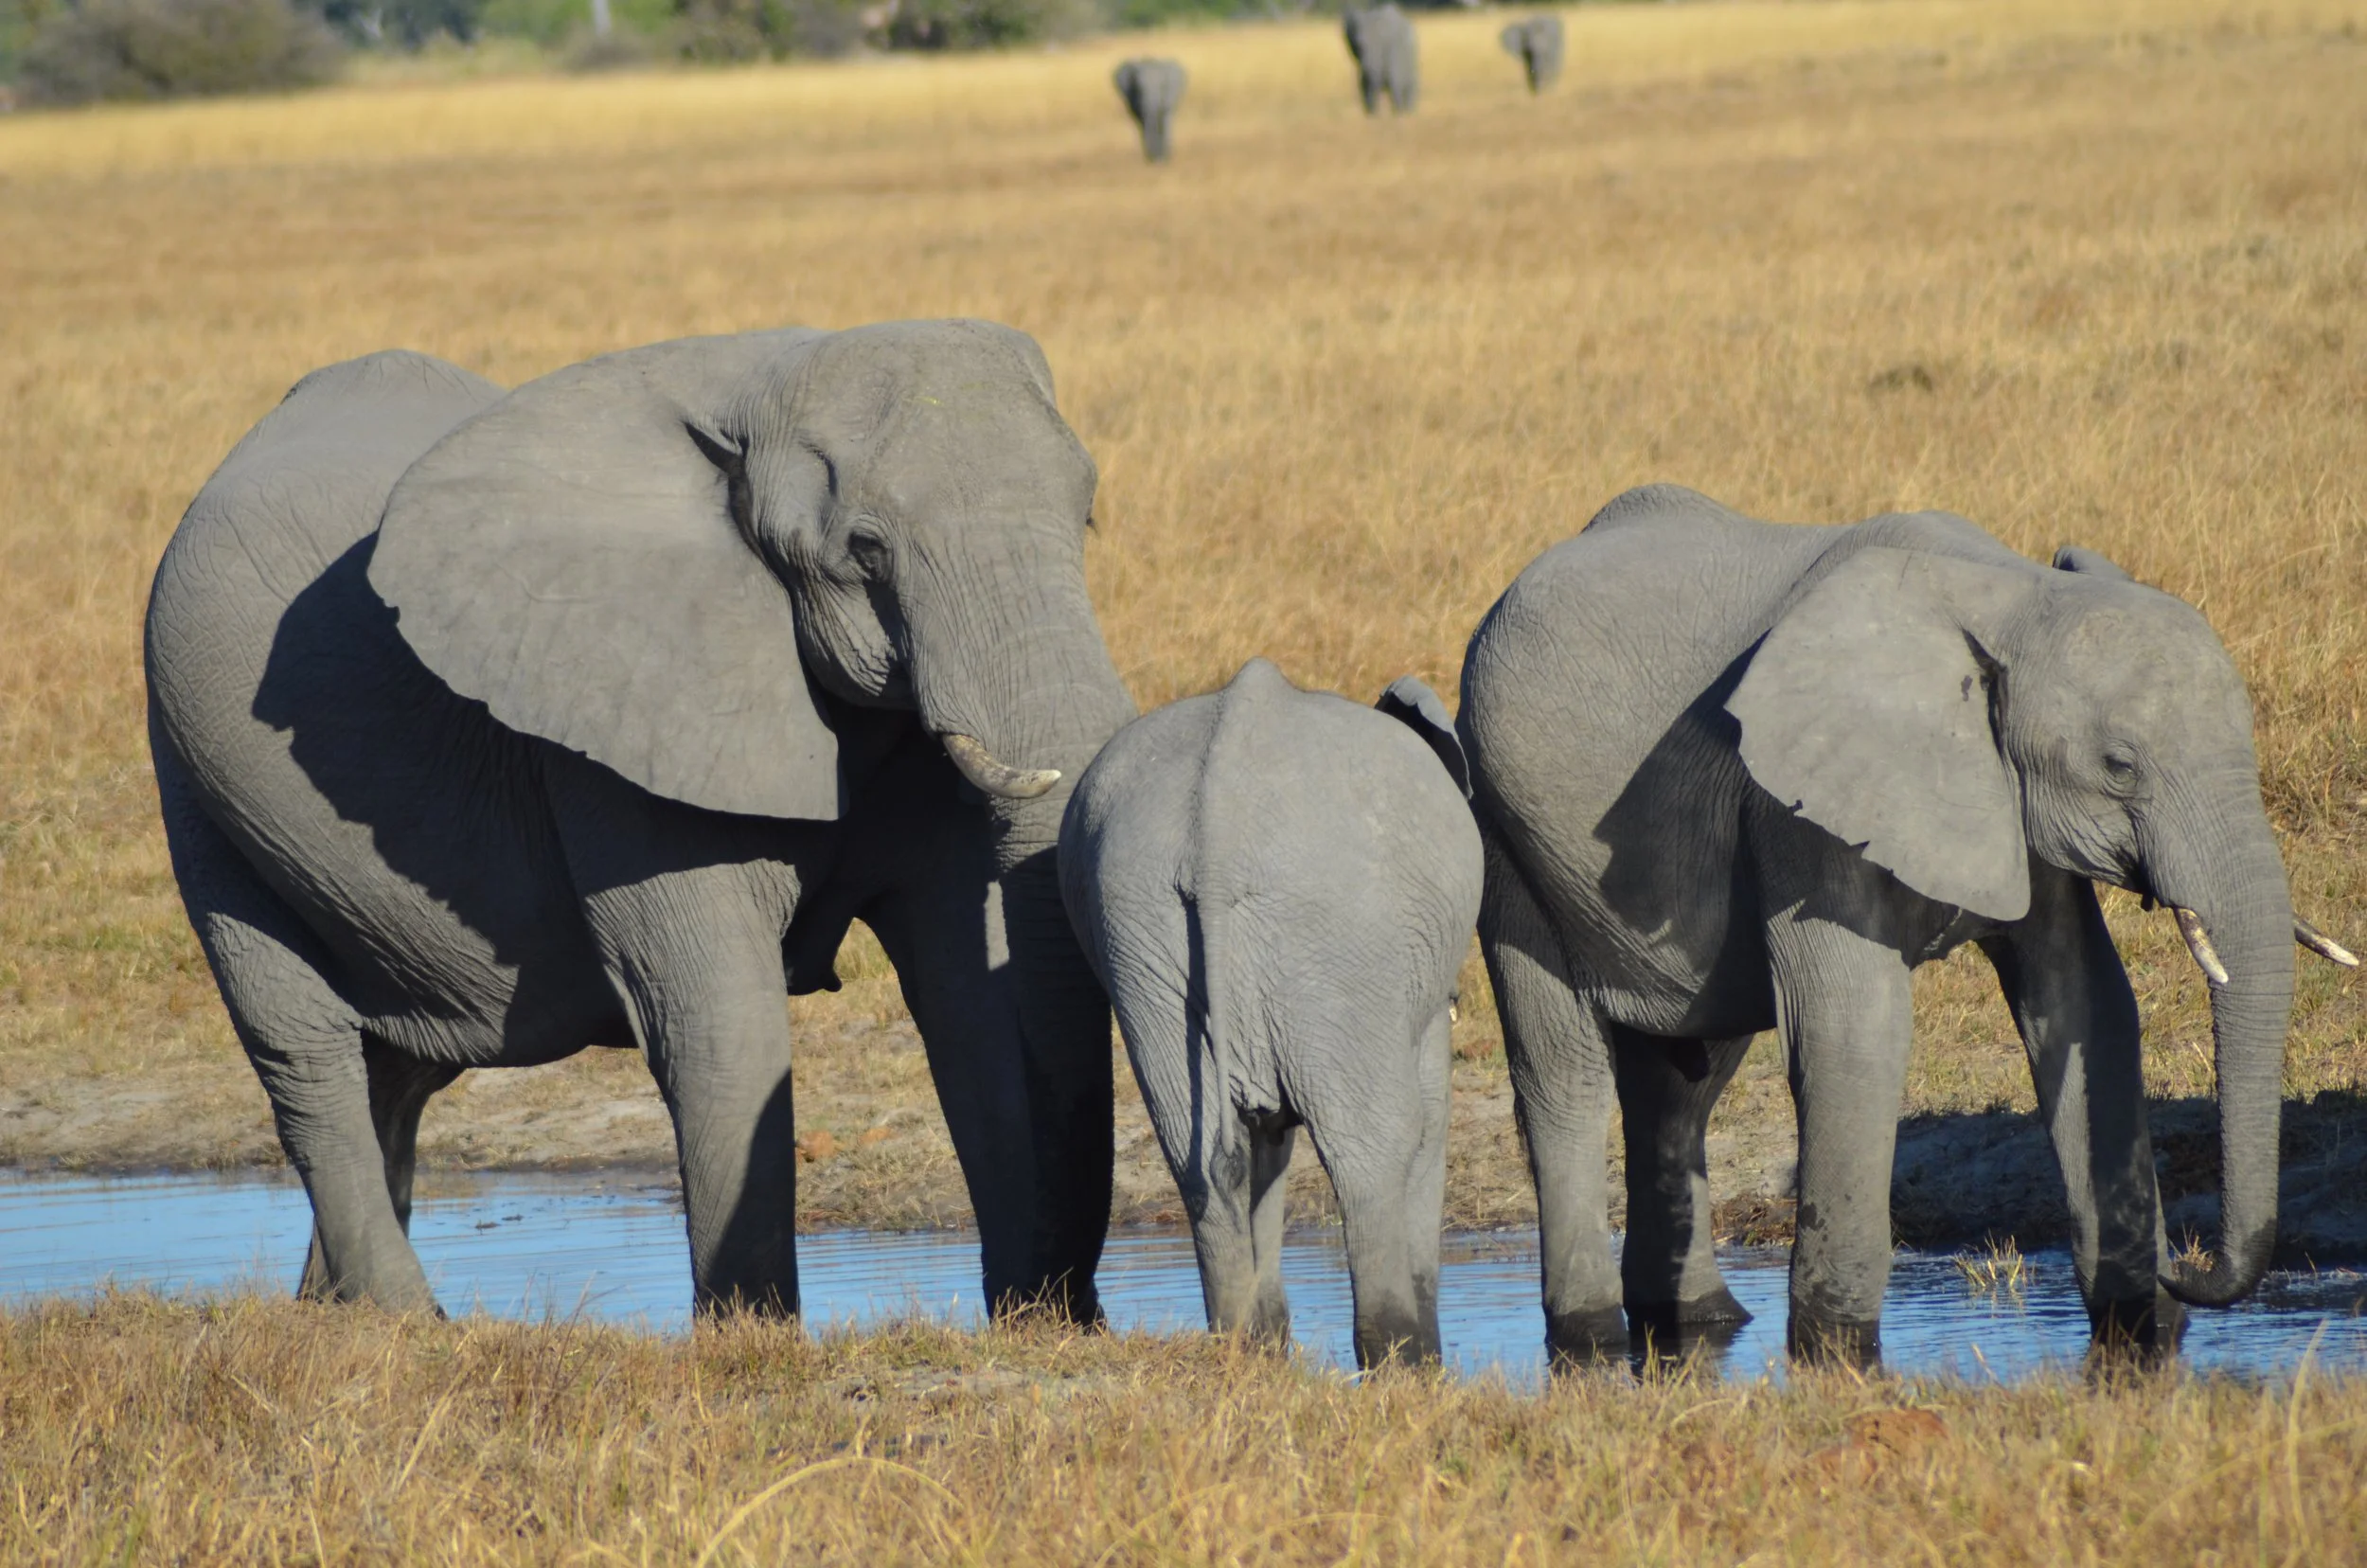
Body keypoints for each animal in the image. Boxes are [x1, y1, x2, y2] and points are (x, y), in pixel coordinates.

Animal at [143, 322, 1139, 1320]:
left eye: (1088, 517)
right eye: (864, 549)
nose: (1074, 1306)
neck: (760, 387)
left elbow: (975, 997)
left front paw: (1038, 1327)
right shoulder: (612, 730)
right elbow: (715, 1013)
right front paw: (751, 1335)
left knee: (396, 1070)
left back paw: (335, 1315)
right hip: (197, 783)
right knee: (303, 1051)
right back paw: (401, 1319)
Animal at [1060, 660, 1483, 1369]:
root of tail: (1215, 833)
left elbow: (1265, 1142)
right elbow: (1427, 1119)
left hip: (1136, 929)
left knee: (1198, 1155)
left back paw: (1238, 1348)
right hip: (1340, 943)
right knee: (1372, 1148)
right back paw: (1400, 1358)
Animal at [1458, 484, 2355, 1366]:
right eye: (2119, 767)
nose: (2187, 1269)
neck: (2010, 596)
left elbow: (2084, 1006)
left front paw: (2142, 1334)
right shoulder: (1798, 802)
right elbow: (1855, 1030)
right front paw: (1836, 1356)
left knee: (1683, 1083)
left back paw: (1700, 1323)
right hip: (1508, 834)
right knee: (1565, 1074)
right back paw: (1593, 1343)